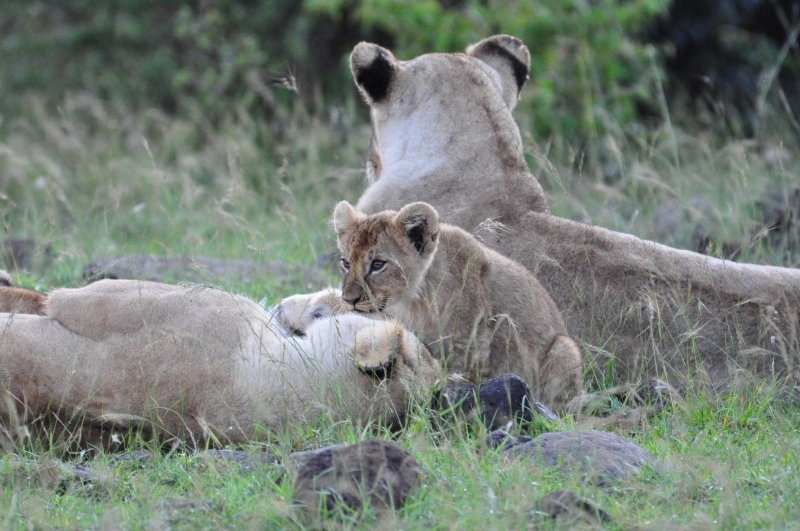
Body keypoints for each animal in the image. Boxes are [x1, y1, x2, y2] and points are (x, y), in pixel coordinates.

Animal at [333, 200, 583, 408]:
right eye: (346, 263)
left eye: (378, 264)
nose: (348, 300)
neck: (415, 300)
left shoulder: (469, 345)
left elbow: (457, 382)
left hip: (564, 349)